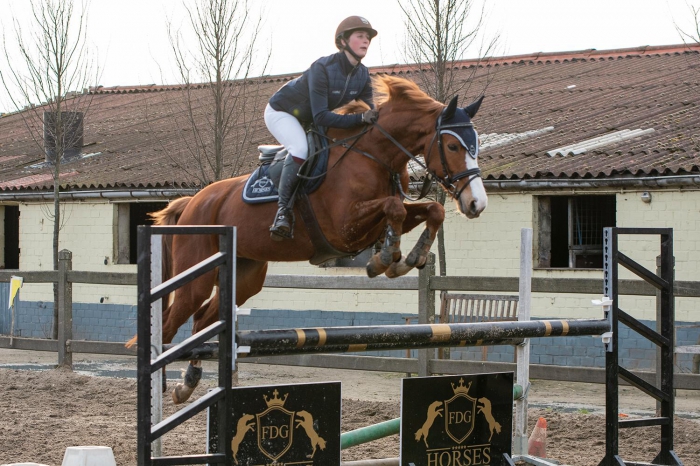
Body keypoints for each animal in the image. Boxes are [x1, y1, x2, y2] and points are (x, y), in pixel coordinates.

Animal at [128, 75, 488, 404]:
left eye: (475, 145)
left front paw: (409, 258)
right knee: (170, 325)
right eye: (453, 146)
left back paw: (187, 383)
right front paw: (386, 258)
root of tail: (193, 201)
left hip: (245, 276)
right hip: (196, 278)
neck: (374, 153)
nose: (476, 204)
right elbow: (394, 207)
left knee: (204, 320)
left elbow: (429, 211)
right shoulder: (344, 228)